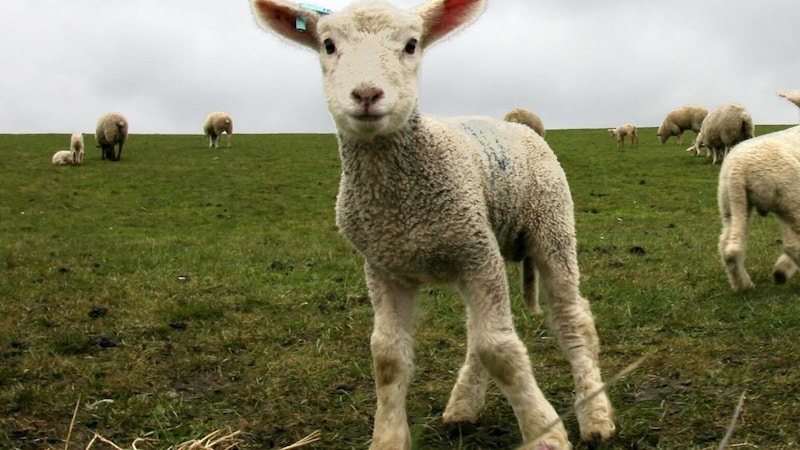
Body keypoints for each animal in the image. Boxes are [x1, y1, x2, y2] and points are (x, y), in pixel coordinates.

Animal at [253, 0, 616, 450]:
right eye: (328, 45)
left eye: (412, 44)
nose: (367, 94)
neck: (402, 203)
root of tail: (519, 125)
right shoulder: (385, 267)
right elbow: (388, 356)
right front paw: (388, 438)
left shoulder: (476, 254)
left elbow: (500, 349)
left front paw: (544, 433)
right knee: (476, 331)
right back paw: (463, 404)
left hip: (550, 226)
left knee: (571, 319)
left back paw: (596, 416)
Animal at [716, 124, 800, 292]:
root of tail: (738, 168)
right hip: (790, 197)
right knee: (792, 243)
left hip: (731, 203)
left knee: (727, 246)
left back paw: (743, 285)